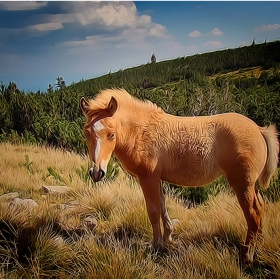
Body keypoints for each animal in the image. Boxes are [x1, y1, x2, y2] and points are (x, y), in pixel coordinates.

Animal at [80, 88, 278, 264]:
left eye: (111, 134)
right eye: (86, 132)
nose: (97, 173)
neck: (142, 132)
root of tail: (259, 129)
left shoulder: (148, 179)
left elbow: (153, 211)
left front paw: (157, 246)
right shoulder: (157, 180)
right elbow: (162, 206)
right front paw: (169, 237)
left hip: (242, 185)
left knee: (252, 215)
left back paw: (247, 255)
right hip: (252, 185)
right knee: (260, 207)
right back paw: (257, 245)